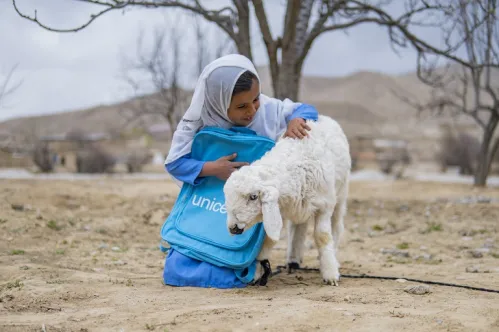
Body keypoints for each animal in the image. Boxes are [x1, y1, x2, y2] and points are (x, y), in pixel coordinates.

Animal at [223, 114, 352, 286]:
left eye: (253, 197)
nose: (233, 229)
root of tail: (324, 116)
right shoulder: (281, 208)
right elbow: (267, 239)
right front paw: (257, 271)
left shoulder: (324, 205)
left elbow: (322, 236)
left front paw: (330, 274)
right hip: (299, 206)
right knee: (299, 227)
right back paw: (293, 259)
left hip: (340, 193)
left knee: (336, 225)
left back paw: (333, 257)